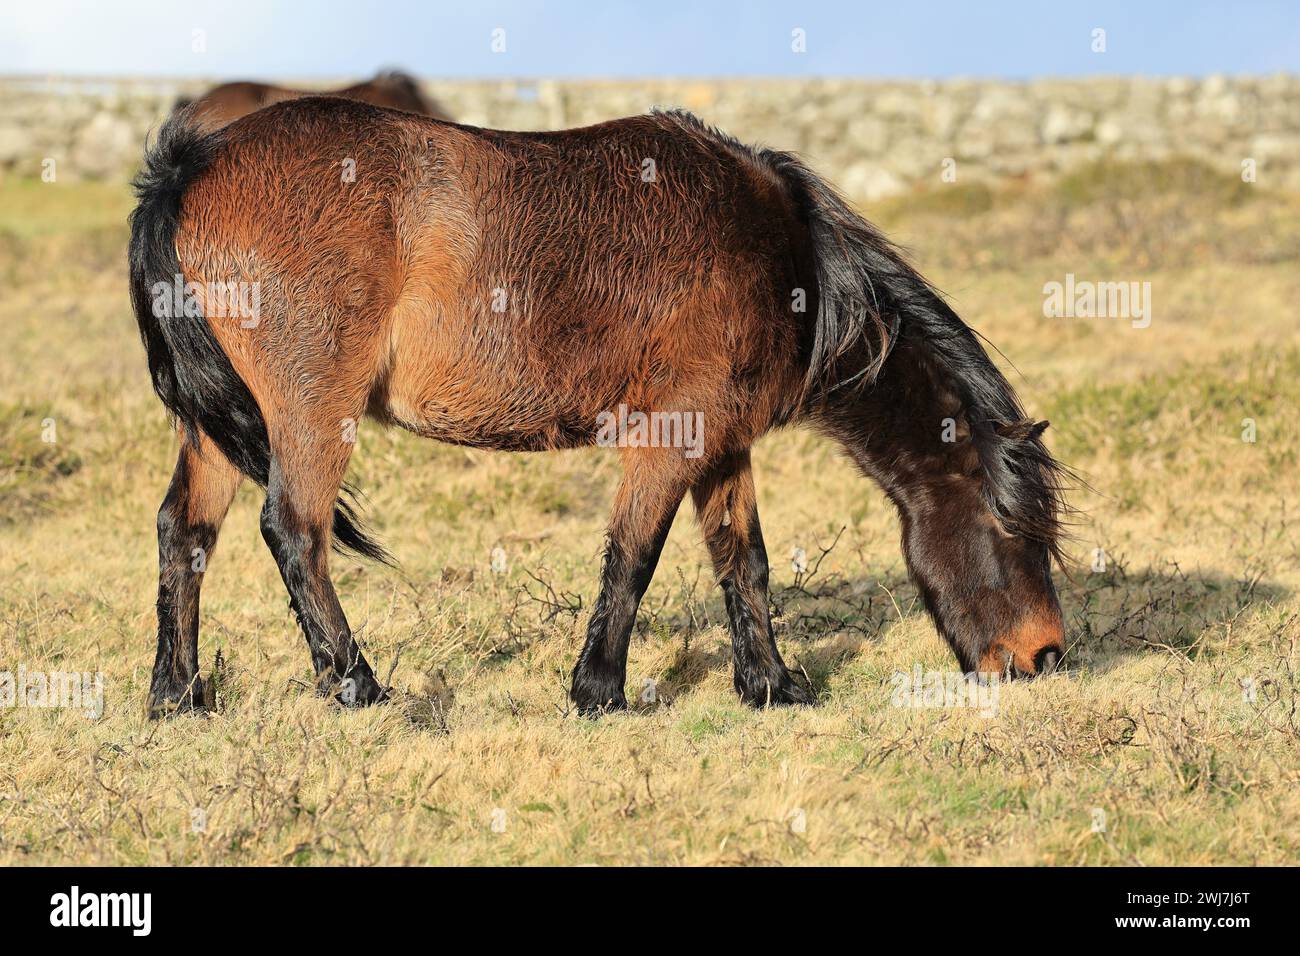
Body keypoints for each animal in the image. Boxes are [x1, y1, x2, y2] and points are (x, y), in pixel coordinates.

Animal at [129, 102, 1066, 717]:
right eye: (1010, 526)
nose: (1045, 655)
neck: (787, 258)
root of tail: (187, 167)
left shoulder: (720, 442)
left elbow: (744, 561)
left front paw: (771, 685)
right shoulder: (670, 437)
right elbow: (635, 554)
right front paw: (600, 690)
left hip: (216, 433)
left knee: (185, 532)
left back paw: (179, 696)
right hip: (313, 414)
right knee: (294, 531)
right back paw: (357, 684)